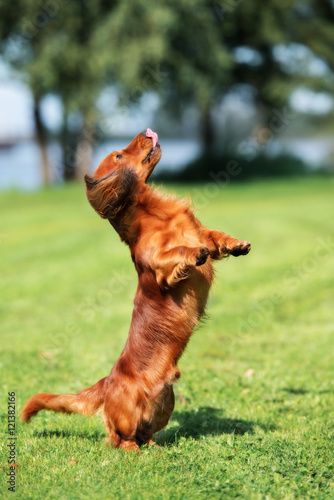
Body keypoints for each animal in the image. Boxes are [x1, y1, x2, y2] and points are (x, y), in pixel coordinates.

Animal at [22, 127, 252, 452]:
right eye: (119, 155)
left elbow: (213, 235)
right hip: (129, 411)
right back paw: (132, 449)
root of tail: (106, 382)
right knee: (118, 437)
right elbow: (178, 253)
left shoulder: (200, 231)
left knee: (146, 432)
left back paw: (153, 446)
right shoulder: (161, 268)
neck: (157, 213)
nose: (146, 132)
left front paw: (235, 244)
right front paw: (194, 253)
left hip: (166, 403)